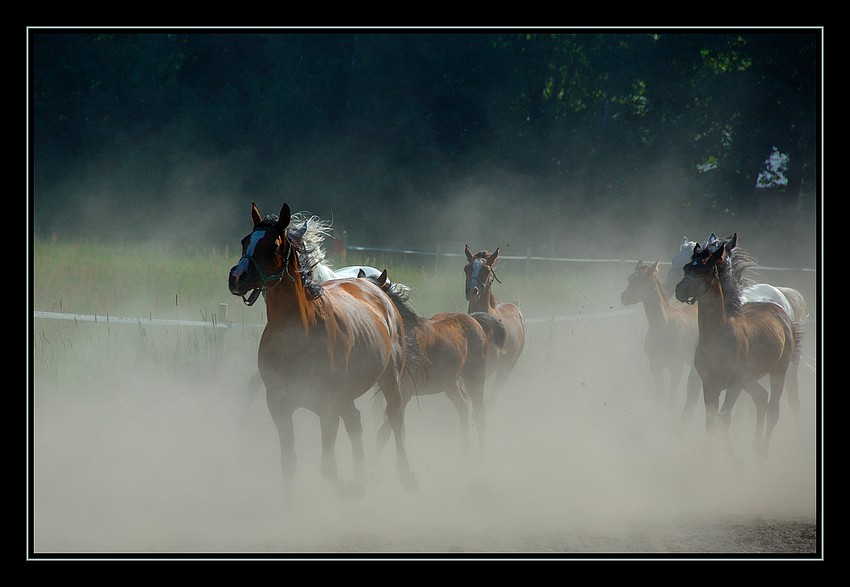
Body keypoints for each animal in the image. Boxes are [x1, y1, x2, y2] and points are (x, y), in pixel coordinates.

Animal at [227, 202, 416, 496]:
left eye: (272, 246)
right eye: (245, 241)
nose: (236, 277)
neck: (298, 335)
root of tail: (375, 287)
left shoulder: (327, 408)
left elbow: (328, 467)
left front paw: (347, 492)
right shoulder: (279, 405)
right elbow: (289, 461)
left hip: (390, 378)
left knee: (396, 419)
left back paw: (404, 475)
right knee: (356, 423)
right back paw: (362, 474)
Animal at [362, 270, 506, 460]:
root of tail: (474, 320)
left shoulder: (406, 391)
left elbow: (385, 431)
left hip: (475, 378)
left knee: (479, 414)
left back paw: (480, 455)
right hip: (450, 384)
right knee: (463, 407)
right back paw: (464, 450)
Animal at [464, 243, 524, 408]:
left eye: (486, 270)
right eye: (466, 268)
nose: (472, 291)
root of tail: (516, 307)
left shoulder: (488, 366)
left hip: (508, 366)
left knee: (496, 391)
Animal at [620, 260, 700, 420]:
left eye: (641, 281)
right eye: (629, 278)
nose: (624, 297)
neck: (664, 327)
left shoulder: (676, 367)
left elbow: (672, 398)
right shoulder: (655, 366)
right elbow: (660, 395)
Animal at [672, 234, 800, 460]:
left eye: (704, 270)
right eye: (686, 267)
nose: (679, 290)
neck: (718, 334)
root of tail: (781, 310)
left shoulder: (734, 384)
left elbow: (724, 419)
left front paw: (732, 459)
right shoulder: (709, 383)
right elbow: (710, 422)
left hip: (780, 371)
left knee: (775, 408)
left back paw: (764, 453)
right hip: (751, 380)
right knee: (761, 399)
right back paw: (756, 446)